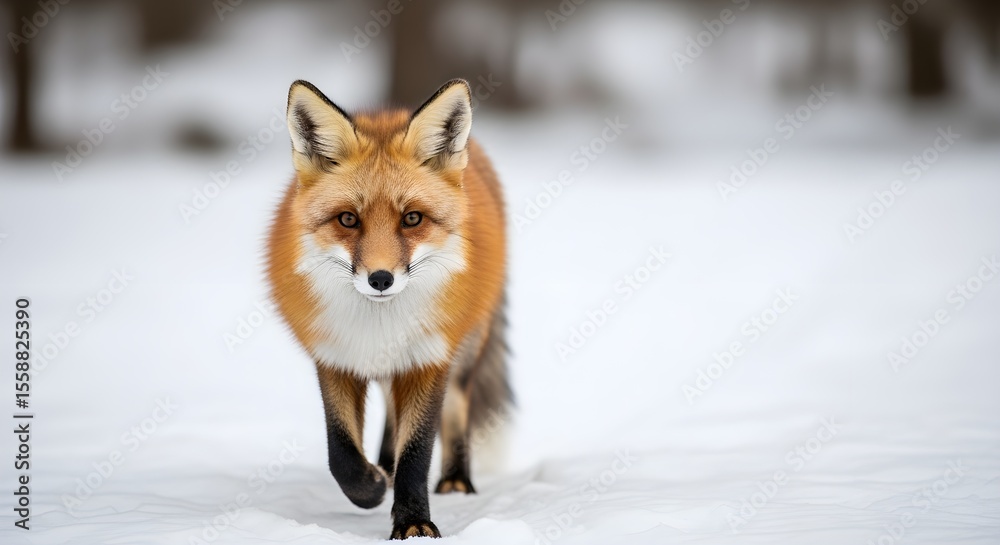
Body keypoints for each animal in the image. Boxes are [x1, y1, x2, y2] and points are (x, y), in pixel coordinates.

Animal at [265, 79, 511, 539]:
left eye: (412, 218)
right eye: (348, 219)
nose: (381, 279)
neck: (378, 326)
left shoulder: (428, 360)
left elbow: (417, 451)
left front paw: (414, 522)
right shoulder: (335, 359)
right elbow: (341, 453)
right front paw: (372, 486)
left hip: (464, 352)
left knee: (456, 410)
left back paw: (456, 479)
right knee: (390, 420)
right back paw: (382, 465)